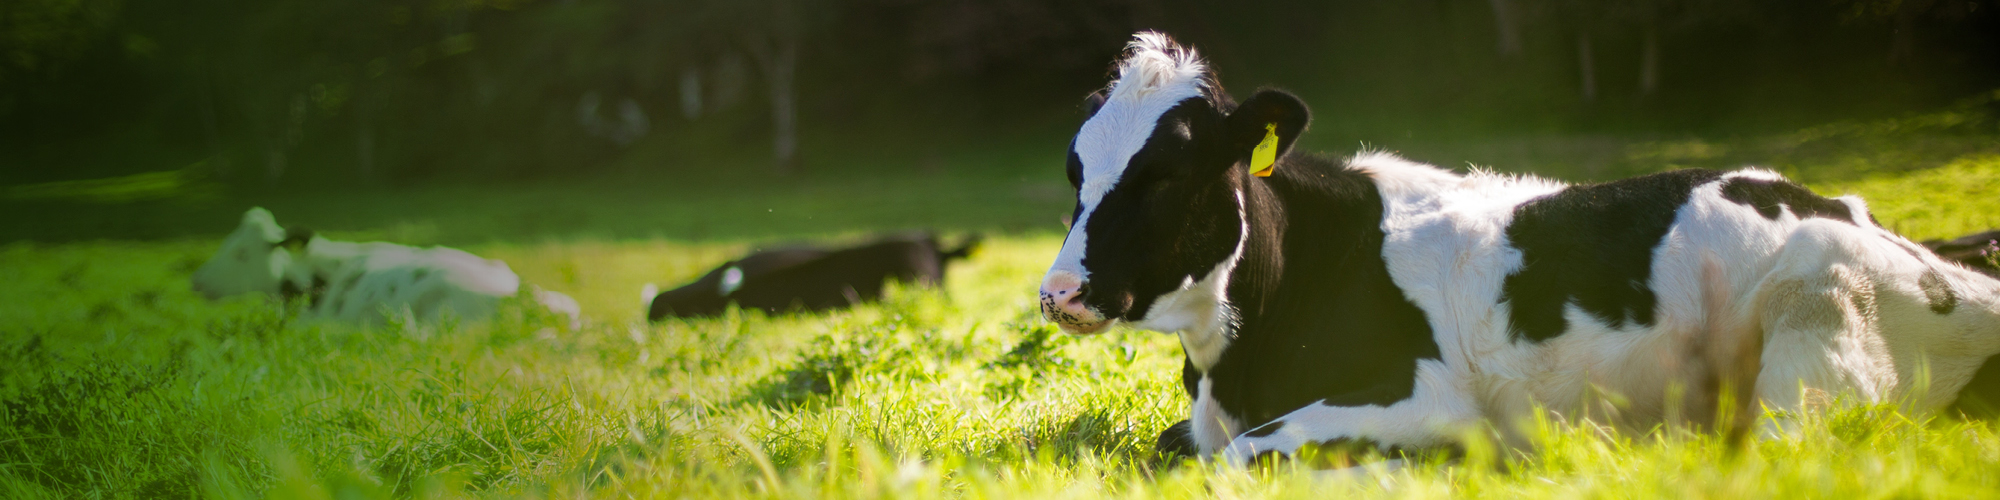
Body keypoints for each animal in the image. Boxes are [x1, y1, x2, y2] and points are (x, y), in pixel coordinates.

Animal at [1037, 32, 2000, 468]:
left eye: (1168, 174)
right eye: (1075, 168)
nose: (1058, 293)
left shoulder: (1425, 394)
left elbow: (1243, 456)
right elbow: (1183, 446)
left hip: (1817, 332)